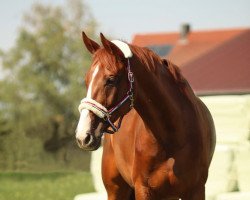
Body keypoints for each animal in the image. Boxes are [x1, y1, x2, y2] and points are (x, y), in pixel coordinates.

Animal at [75, 32, 216, 199]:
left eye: (111, 79)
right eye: (86, 81)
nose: (83, 136)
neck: (173, 137)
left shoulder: (196, 190)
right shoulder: (143, 189)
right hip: (116, 190)